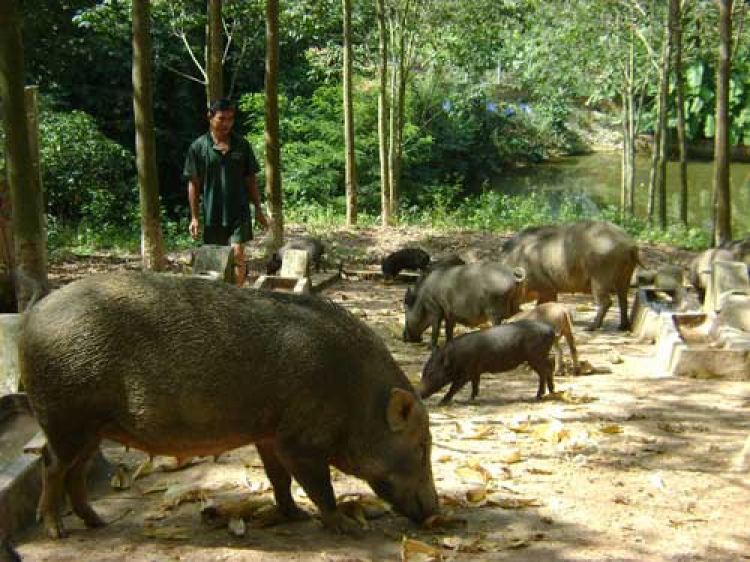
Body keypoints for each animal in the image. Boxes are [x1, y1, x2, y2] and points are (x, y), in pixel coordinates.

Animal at [20, 272, 440, 540]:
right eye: (421, 447)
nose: (436, 511)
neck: (356, 395)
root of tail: (30, 318)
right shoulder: (299, 437)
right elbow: (318, 484)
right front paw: (343, 528)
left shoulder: (269, 432)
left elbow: (279, 478)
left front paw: (295, 515)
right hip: (66, 416)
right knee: (51, 464)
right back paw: (57, 533)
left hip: (93, 426)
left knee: (74, 472)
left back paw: (98, 523)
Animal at [500, 221, 640, 330]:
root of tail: (629, 243)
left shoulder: (546, 287)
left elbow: (543, 304)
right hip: (625, 275)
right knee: (623, 299)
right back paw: (622, 327)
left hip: (600, 277)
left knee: (607, 301)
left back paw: (590, 328)